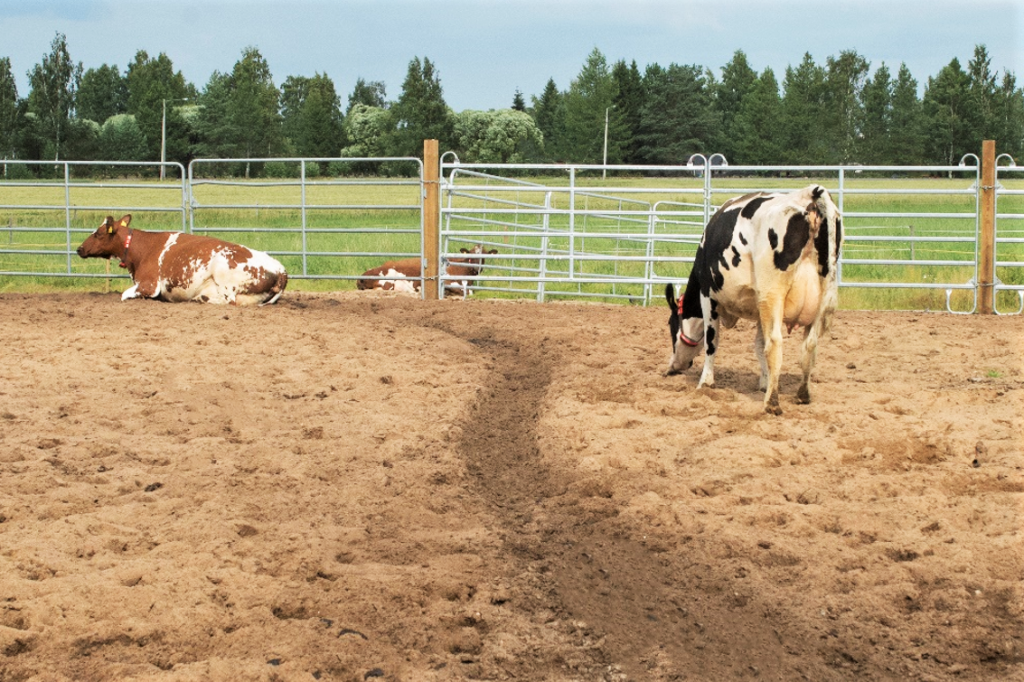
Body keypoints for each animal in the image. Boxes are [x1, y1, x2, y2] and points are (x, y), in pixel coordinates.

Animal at [76, 215, 288, 305]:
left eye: (98, 233)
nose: (79, 249)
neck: (144, 248)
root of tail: (280, 269)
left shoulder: (149, 285)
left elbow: (124, 295)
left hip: (223, 273)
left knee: (229, 300)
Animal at [667, 182, 843, 413]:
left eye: (671, 326)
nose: (672, 367)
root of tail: (809, 194)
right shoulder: (760, 310)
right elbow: (759, 346)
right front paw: (765, 382)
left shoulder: (708, 295)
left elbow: (712, 340)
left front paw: (705, 382)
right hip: (823, 294)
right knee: (810, 345)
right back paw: (802, 395)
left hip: (772, 294)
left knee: (775, 343)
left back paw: (772, 403)